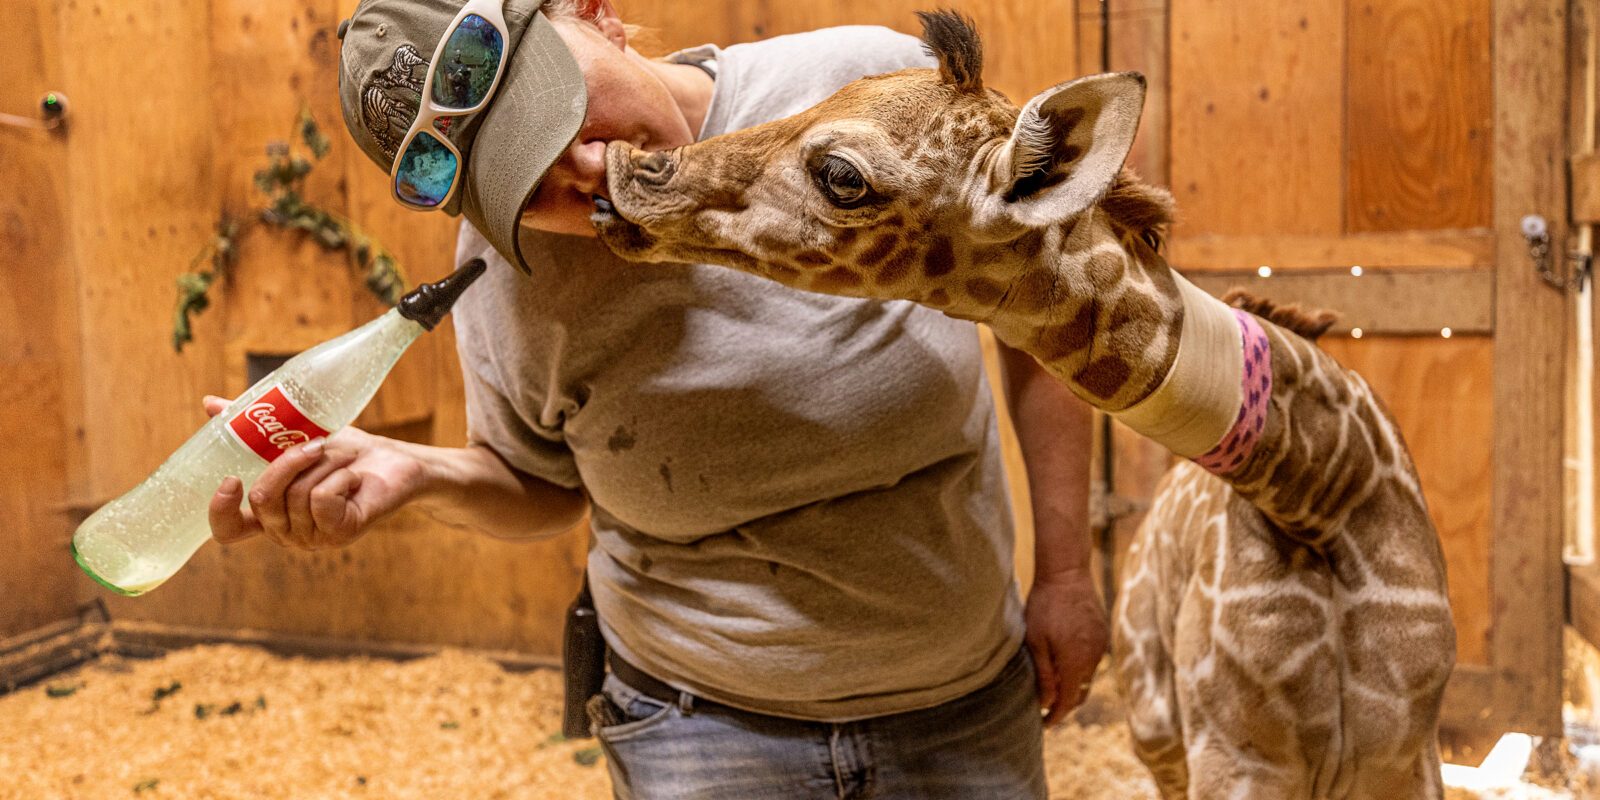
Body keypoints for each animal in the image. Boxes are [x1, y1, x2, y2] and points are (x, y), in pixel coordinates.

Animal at [588, 11, 1456, 799]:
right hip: (1157, 719)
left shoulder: (1405, 759)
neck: (1320, 492)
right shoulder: (1237, 755)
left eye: (841, 174)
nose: (631, 173)